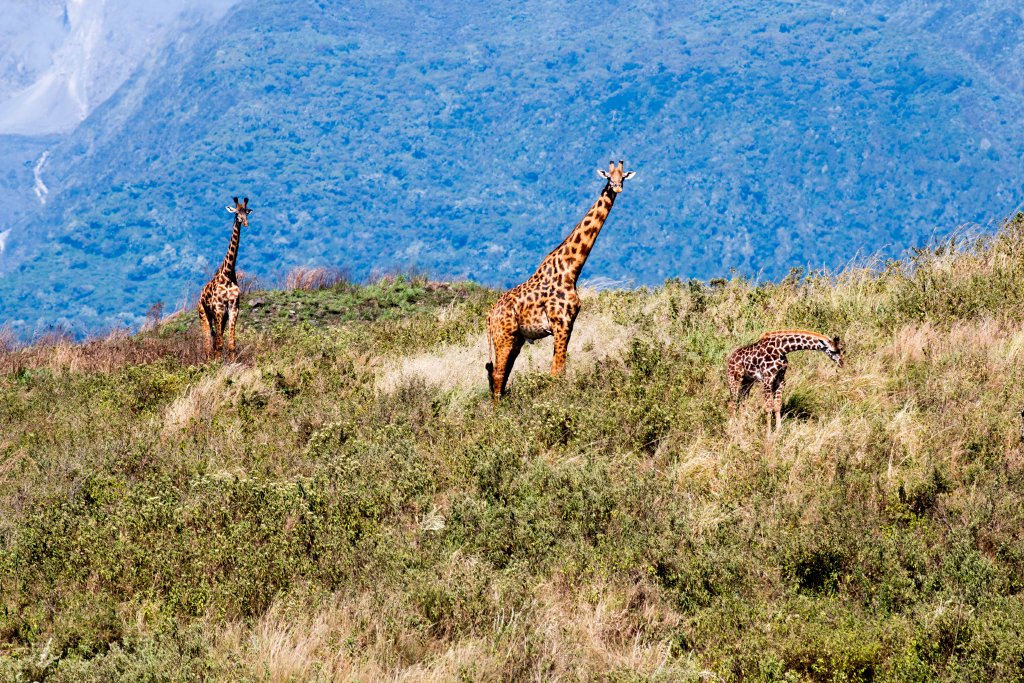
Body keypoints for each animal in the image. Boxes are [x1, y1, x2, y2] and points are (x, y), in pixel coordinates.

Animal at [198, 196, 252, 361]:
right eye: (236, 213)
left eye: (246, 212)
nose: (245, 223)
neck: (227, 274)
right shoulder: (218, 308)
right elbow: (219, 344)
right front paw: (217, 364)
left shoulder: (233, 308)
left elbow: (231, 344)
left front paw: (232, 363)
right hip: (204, 314)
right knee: (207, 342)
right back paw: (209, 361)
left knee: (215, 339)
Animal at [485, 160, 635, 406]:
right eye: (608, 176)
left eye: (622, 176)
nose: (617, 187)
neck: (570, 270)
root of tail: (489, 316)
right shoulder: (560, 323)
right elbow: (558, 371)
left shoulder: (568, 324)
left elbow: (556, 369)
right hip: (503, 336)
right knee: (498, 373)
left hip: (516, 339)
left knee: (502, 373)